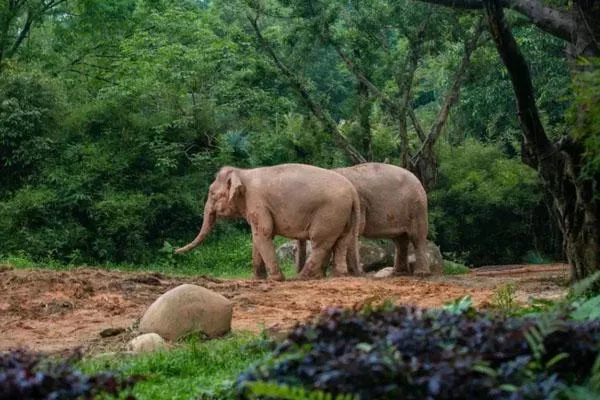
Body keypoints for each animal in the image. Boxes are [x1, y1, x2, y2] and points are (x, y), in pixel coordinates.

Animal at [173, 163, 360, 282]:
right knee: (341, 241)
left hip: (329, 212)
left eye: (212, 194)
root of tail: (353, 190)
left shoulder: (257, 201)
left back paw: (301, 277)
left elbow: (263, 233)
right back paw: (337, 275)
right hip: (344, 215)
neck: (242, 173)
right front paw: (257, 279)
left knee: (320, 244)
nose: (175, 250)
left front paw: (276, 279)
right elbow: (256, 237)